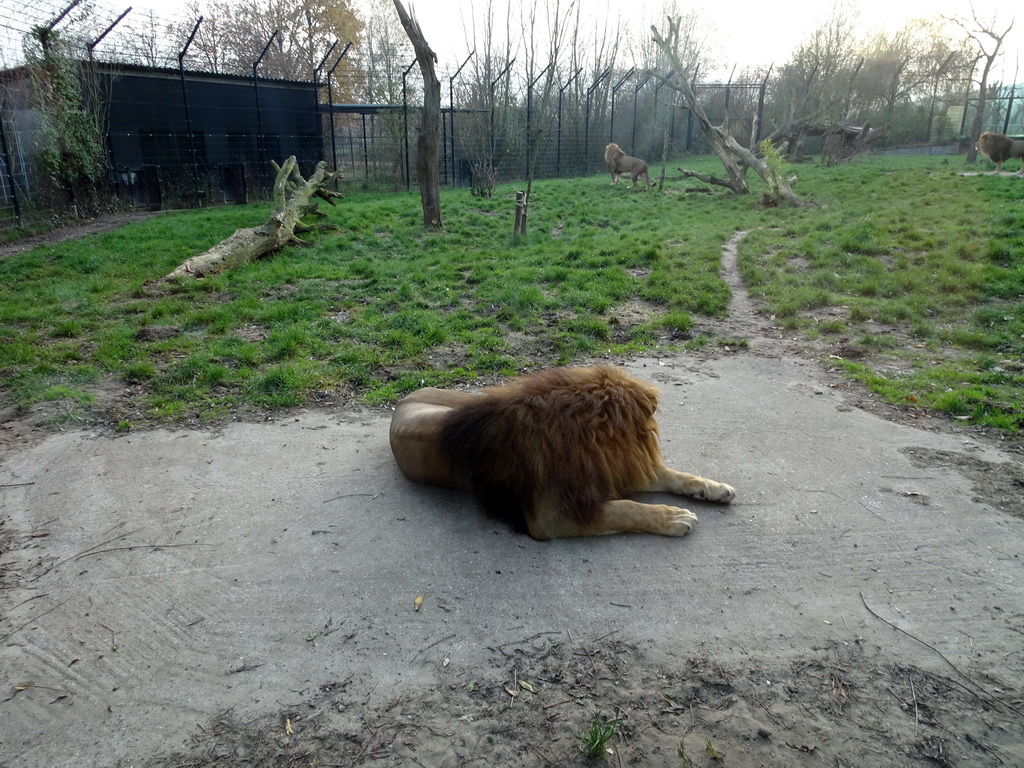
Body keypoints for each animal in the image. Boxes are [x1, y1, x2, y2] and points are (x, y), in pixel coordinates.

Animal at [385, 364, 737, 540]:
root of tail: (403, 399)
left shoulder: (612, 471)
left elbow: (676, 475)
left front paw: (713, 488)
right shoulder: (548, 518)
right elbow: (624, 509)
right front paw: (673, 516)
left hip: (468, 399)